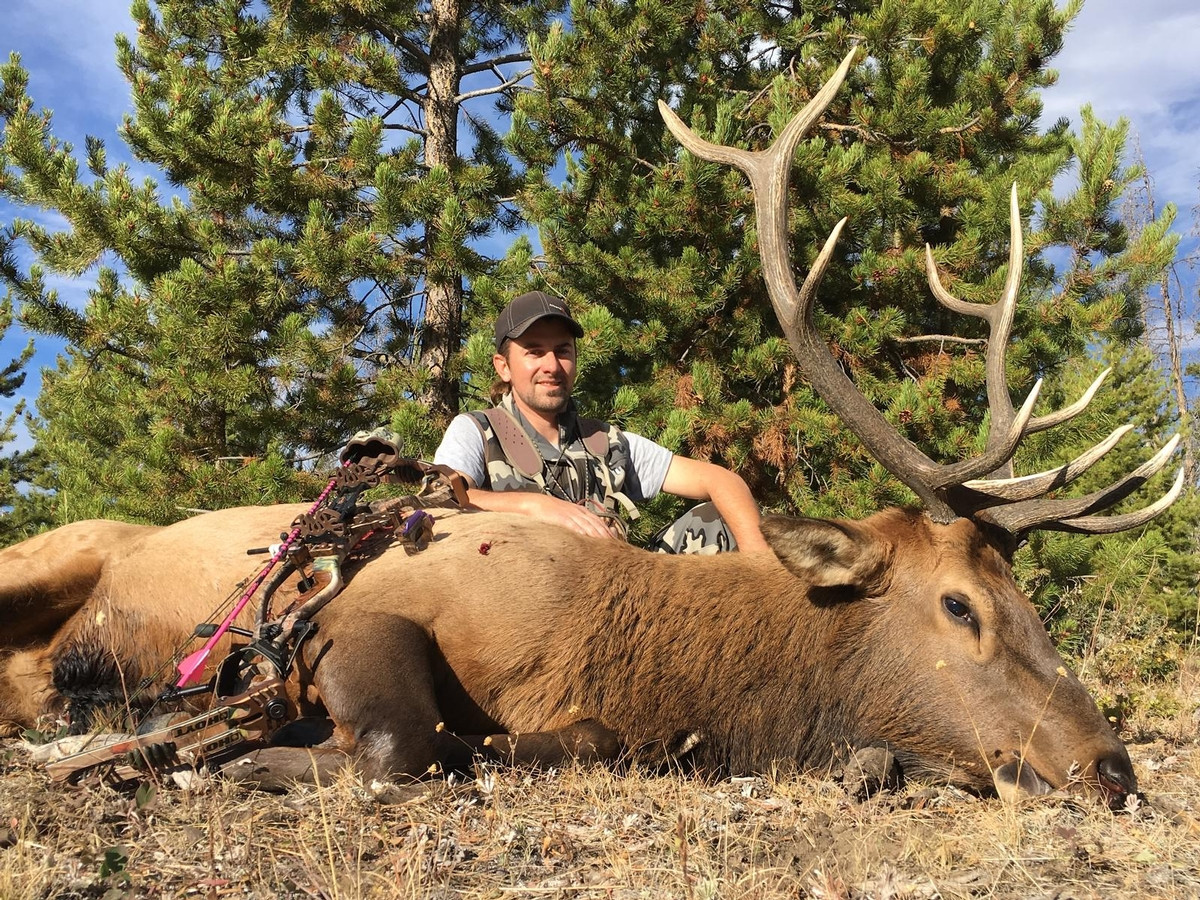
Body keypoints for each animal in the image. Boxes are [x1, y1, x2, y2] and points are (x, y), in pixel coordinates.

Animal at [0, 52, 1180, 806]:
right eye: (958, 605)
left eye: (1023, 596)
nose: (1113, 768)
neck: (627, 649)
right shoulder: (363, 618)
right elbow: (400, 742)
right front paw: (244, 760)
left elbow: (581, 742)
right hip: (53, 556)